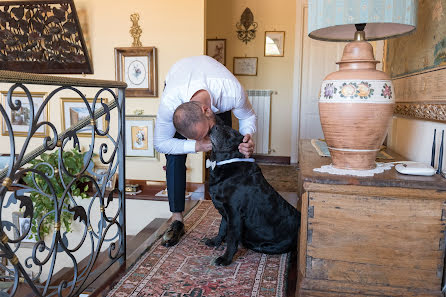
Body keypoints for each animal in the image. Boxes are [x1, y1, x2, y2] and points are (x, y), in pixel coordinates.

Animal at [205, 123, 302, 264]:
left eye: (232, 134)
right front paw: (216, 241)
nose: (215, 125)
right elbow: (221, 228)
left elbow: (232, 239)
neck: (228, 162)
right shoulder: (225, 212)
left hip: (268, 246)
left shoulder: (235, 214)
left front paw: (226, 259)